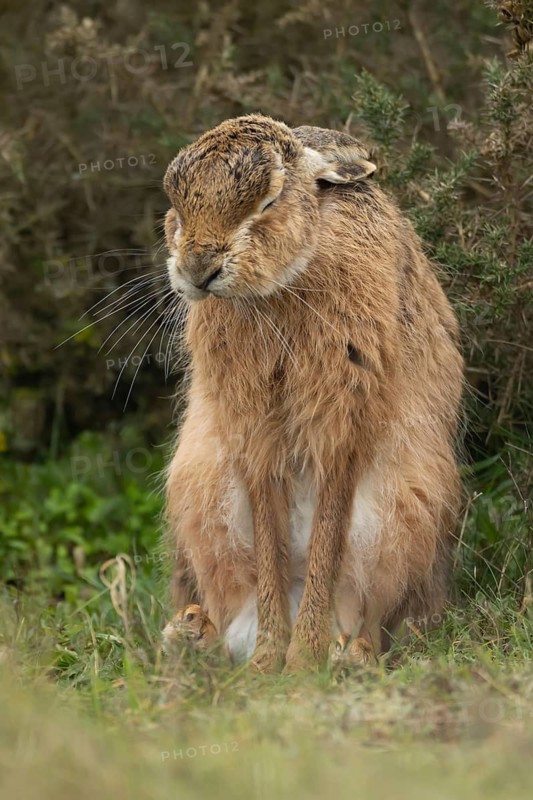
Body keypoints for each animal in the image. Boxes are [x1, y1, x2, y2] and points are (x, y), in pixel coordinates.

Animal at [162, 113, 464, 672]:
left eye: (269, 200)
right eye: (176, 204)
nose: (197, 271)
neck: (281, 285)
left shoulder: (344, 422)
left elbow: (327, 533)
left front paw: (301, 663)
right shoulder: (253, 433)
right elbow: (269, 542)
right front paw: (268, 663)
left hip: (407, 516)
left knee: (369, 616)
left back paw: (346, 655)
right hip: (200, 494)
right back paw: (192, 633)